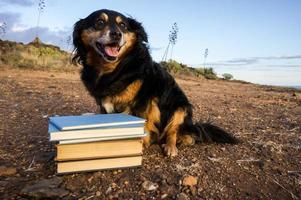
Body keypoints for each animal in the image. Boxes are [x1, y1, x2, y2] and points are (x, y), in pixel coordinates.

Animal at [72, 9, 237, 156]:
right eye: (99, 22)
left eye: (123, 25)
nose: (116, 34)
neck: (113, 69)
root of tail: (191, 127)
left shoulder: (144, 100)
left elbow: (143, 124)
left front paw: (140, 144)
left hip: (180, 107)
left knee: (176, 133)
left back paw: (171, 146)